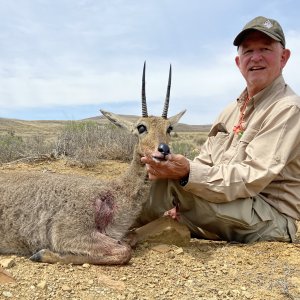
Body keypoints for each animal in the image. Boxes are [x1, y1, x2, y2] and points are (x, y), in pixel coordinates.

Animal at [0, 62, 185, 264]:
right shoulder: (68, 232)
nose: (164, 150)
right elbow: (124, 251)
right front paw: (43, 253)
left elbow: (130, 239)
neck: (114, 193)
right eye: (141, 127)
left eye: (169, 128)